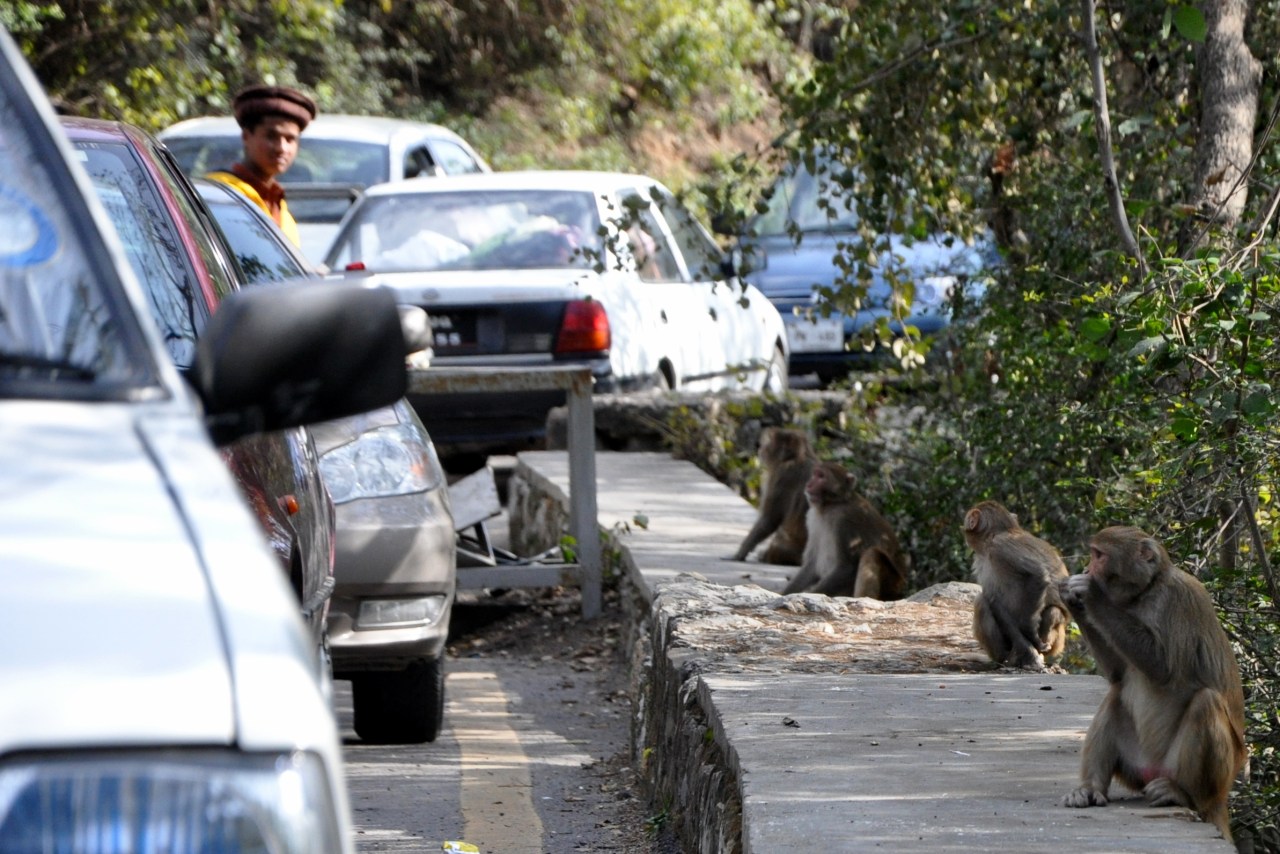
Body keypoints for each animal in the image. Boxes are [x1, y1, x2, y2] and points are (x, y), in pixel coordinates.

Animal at [731, 428, 815, 565]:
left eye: (767, 444)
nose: (760, 448)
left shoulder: (783, 476)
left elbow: (770, 519)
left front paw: (740, 553)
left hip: (786, 552)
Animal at [781, 461, 908, 600]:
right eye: (815, 474)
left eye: (821, 476)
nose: (809, 484)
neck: (830, 505)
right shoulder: (812, 519)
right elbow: (811, 565)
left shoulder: (846, 520)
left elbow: (846, 568)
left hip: (892, 586)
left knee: (872, 553)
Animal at [962, 501, 1069, 670]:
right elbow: (993, 599)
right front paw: (1025, 647)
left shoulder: (1000, 547)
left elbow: (1038, 576)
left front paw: (1030, 634)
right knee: (983, 603)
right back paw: (1006, 657)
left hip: (1057, 642)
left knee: (1053, 612)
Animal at [1058, 526, 1247, 841]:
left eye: (1099, 555)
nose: (1086, 568)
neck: (1147, 592)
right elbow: (1118, 675)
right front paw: (1072, 599)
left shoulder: (1179, 599)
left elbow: (1163, 668)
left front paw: (1092, 594)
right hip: (1136, 767)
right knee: (1116, 695)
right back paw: (1089, 789)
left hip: (1193, 771)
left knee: (1205, 702)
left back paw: (1184, 794)